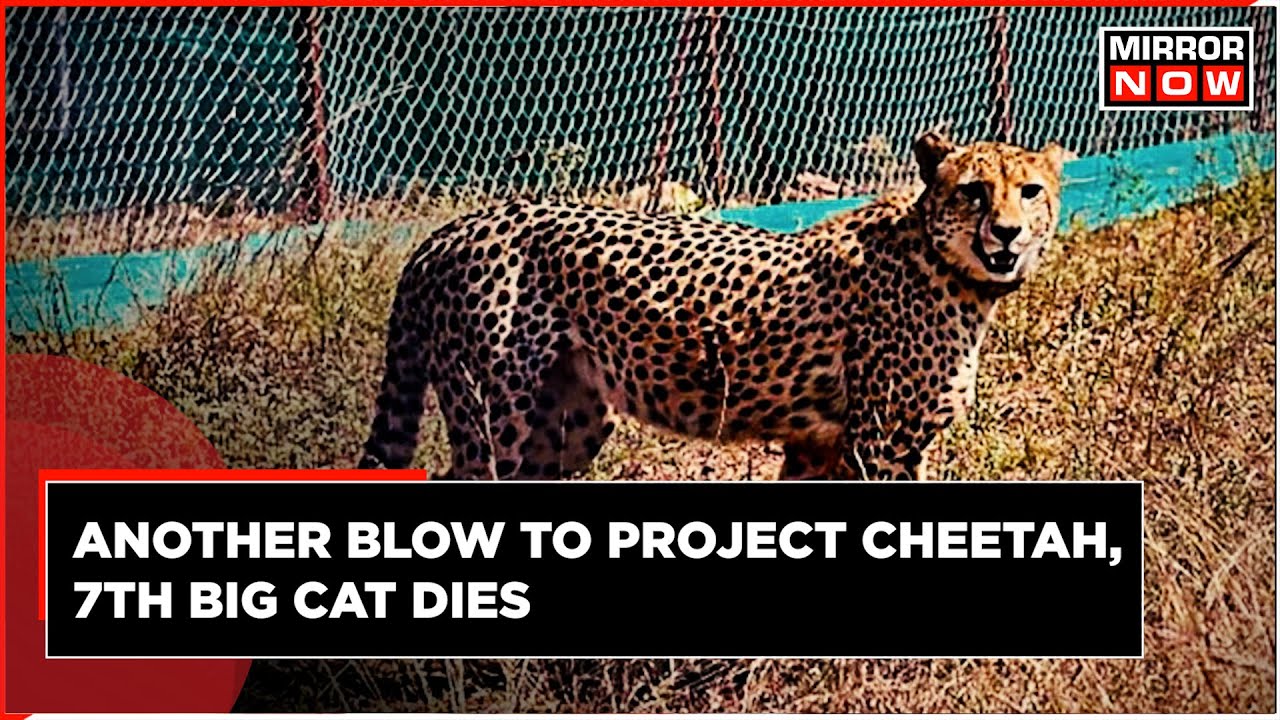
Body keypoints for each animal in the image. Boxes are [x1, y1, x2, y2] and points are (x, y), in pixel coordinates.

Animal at [358, 132, 1064, 480]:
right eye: (974, 191)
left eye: (1030, 191)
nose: (1008, 233)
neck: (948, 267)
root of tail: (451, 230)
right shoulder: (880, 440)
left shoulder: (820, 445)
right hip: (499, 418)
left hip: (571, 422)